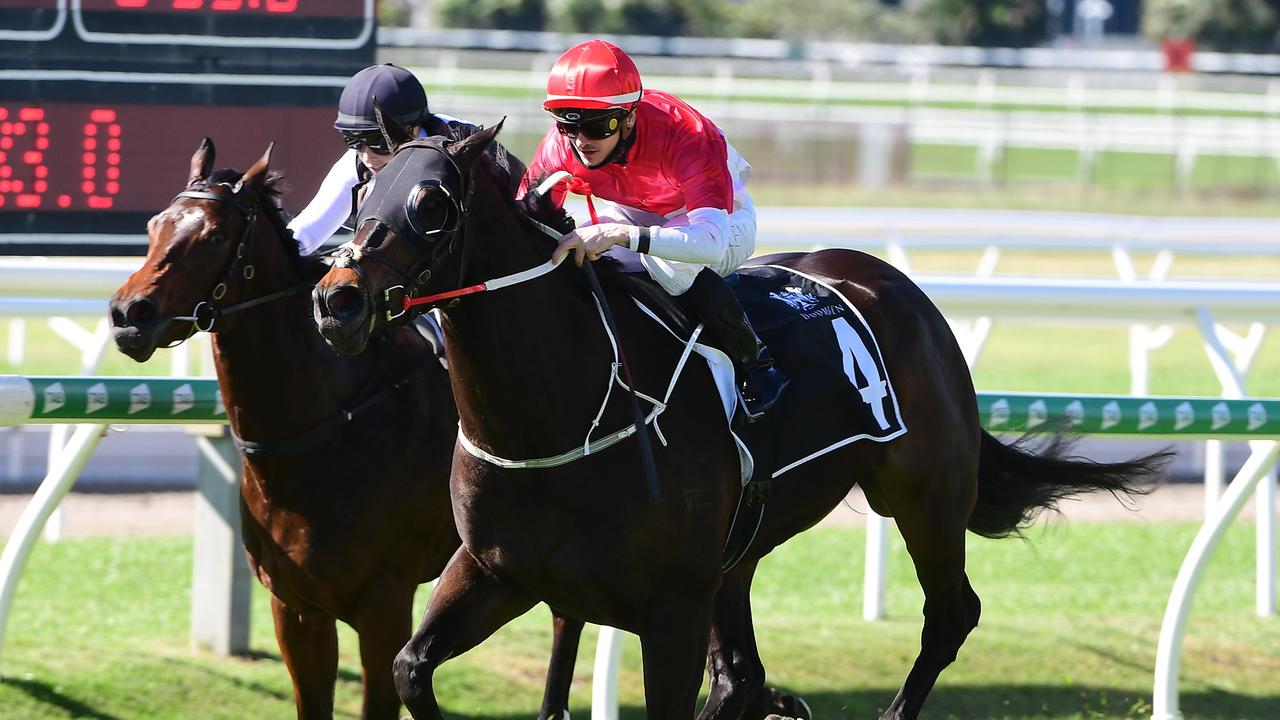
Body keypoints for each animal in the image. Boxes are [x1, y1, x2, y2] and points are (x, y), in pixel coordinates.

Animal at [106, 140, 586, 717]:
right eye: (155, 224)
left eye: (217, 235)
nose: (129, 314)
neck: (322, 432)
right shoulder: (296, 606)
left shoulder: (384, 605)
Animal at [309, 119, 1172, 717]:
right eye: (361, 193)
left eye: (431, 202)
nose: (337, 301)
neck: (561, 421)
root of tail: (896, 286)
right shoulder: (498, 573)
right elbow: (410, 667)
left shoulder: (670, 609)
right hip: (743, 551)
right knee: (744, 674)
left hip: (924, 497)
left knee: (950, 616)